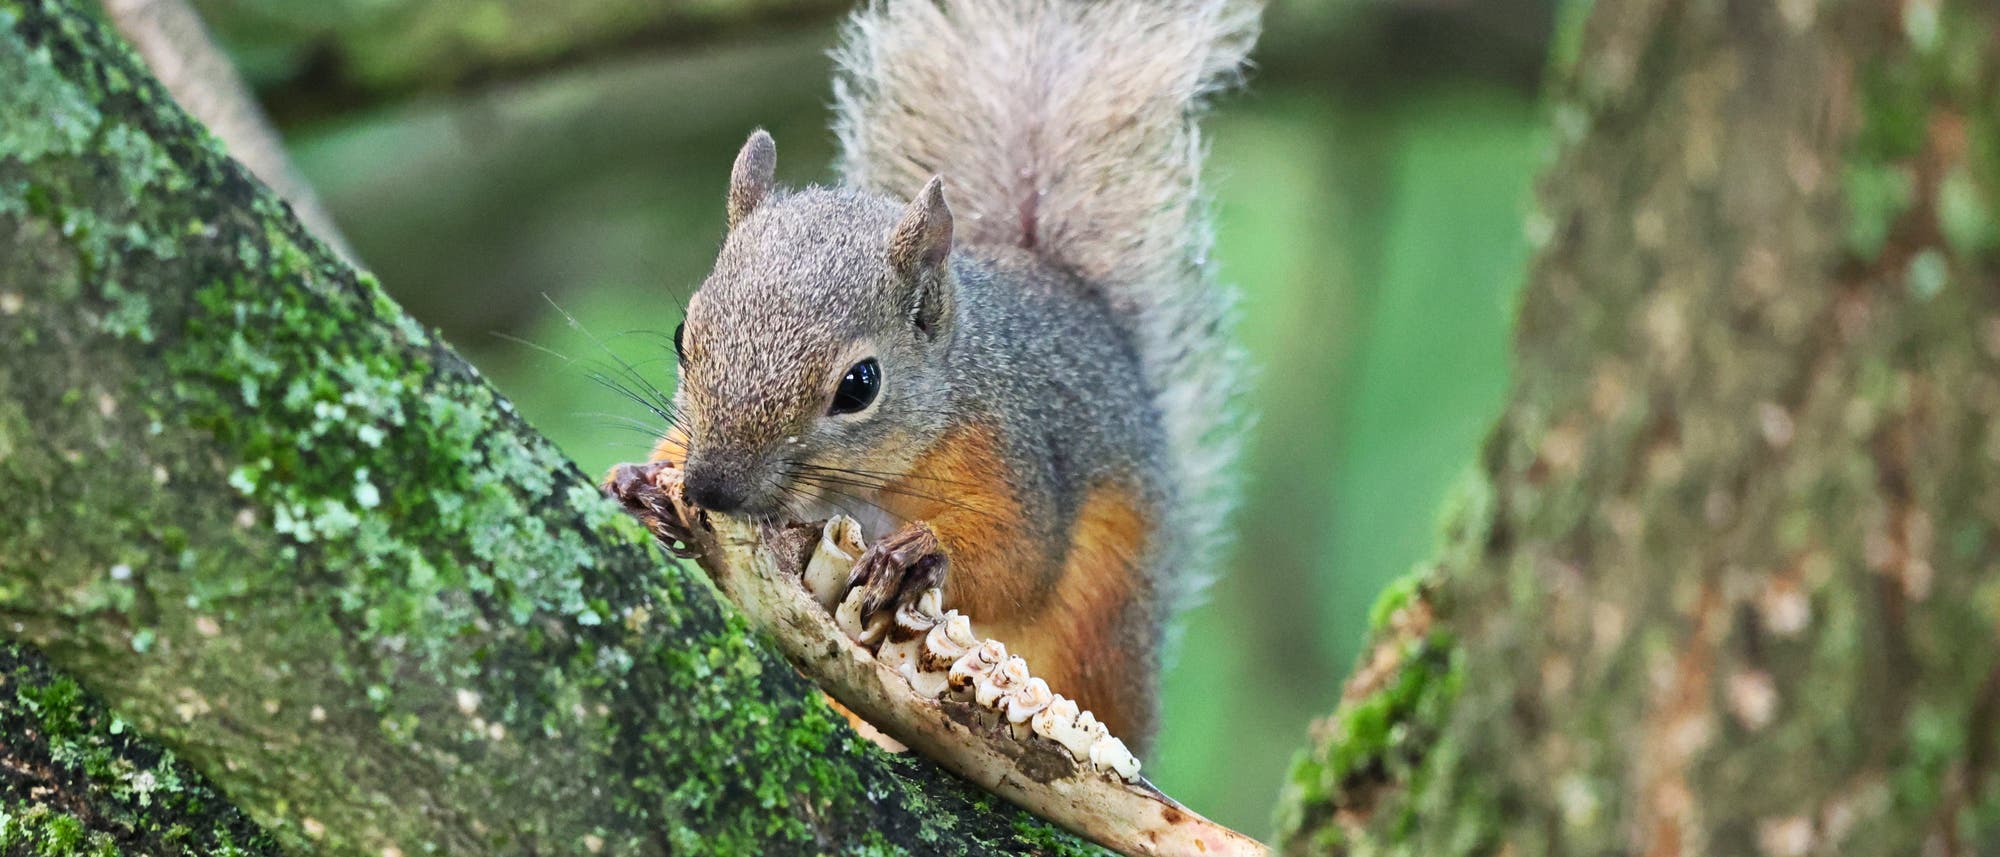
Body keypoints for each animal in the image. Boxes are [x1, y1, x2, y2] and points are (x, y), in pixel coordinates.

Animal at [608, 0, 1256, 748]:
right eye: (684, 336)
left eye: (860, 384)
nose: (710, 488)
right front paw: (639, 481)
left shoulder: (1010, 449)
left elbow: (1020, 559)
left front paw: (920, 555)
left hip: (1100, 629)